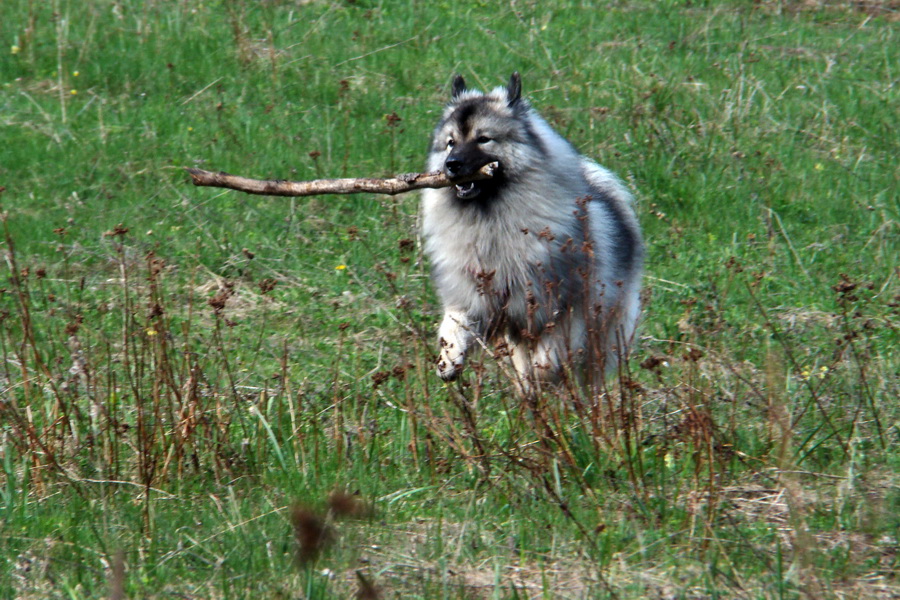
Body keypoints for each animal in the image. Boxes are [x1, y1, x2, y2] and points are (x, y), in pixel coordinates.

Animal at [418, 71, 644, 390]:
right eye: (450, 143)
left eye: (483, 139)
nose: (451, 165)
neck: (491, 222)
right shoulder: (474, 298)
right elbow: (454, 326)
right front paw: (448, 360)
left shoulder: (566, 311)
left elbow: (548, 360)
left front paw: (544, 376)